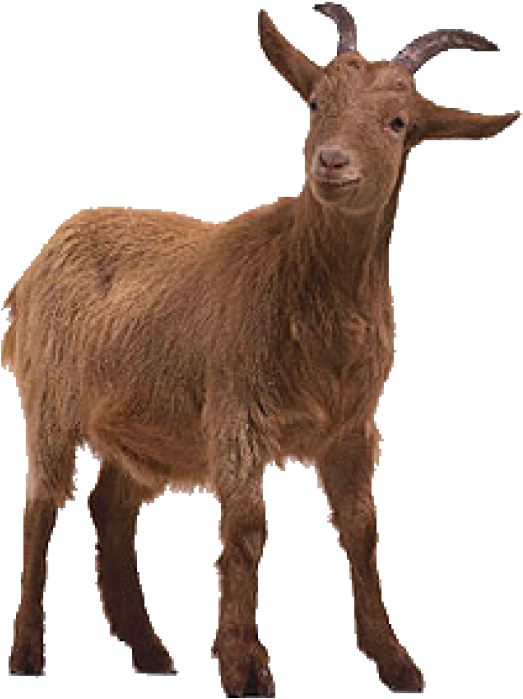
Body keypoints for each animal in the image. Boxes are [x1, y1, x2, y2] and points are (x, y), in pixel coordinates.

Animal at [4, 4, 518, 694]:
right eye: (317, 101)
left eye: (398, 122)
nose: (332, 162)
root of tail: (52, 246)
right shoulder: (235, 412)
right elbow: (246, 528)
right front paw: (244, 665)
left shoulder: (351, 426)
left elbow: (361, 527)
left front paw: (395, 661)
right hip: (51, 395)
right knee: (42, 503)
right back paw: (27, 653)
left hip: (147, 427)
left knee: (109, 505)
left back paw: (150, 650)